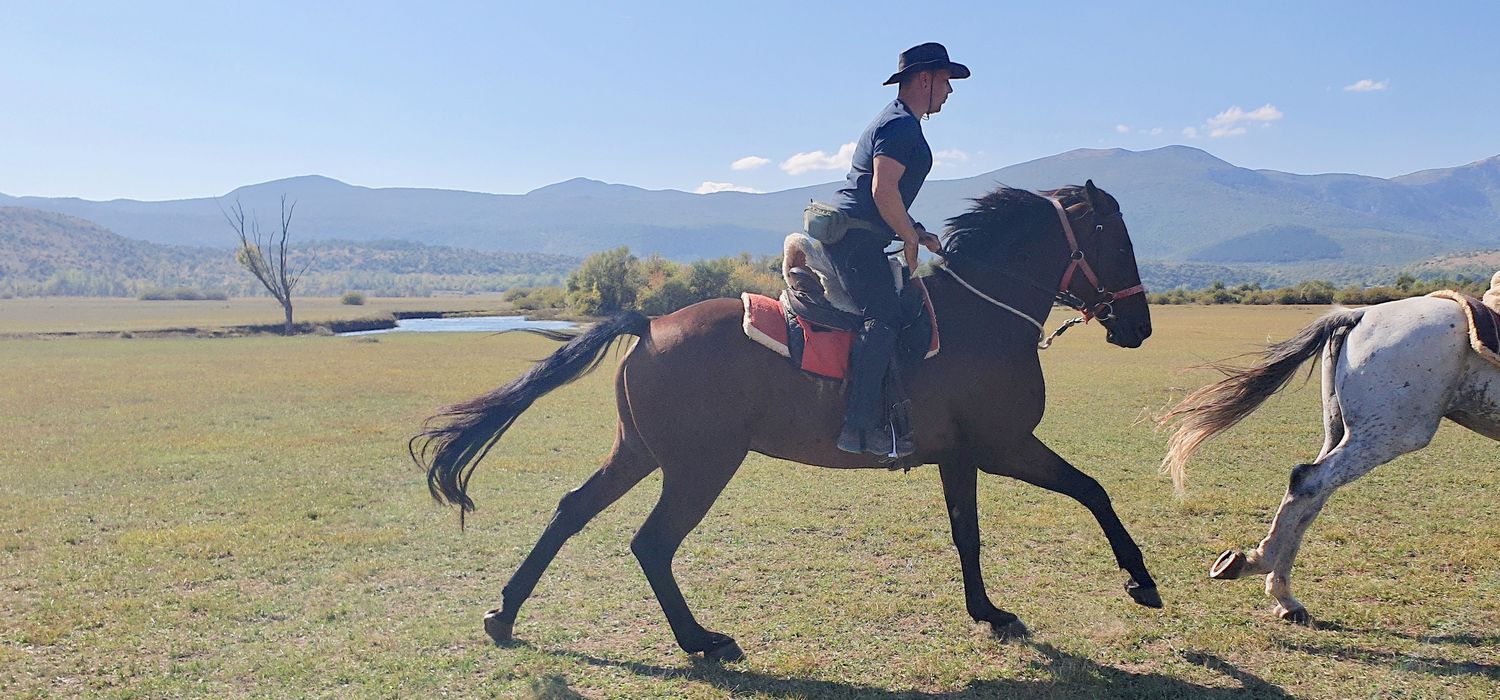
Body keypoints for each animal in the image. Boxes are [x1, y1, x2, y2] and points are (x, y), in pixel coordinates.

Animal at [417, 182, 1164, 662]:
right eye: (1114, 237)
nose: (1139, 327)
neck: (983, 314)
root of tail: (651, 322)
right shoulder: (1006, 445)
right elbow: (1094, 490)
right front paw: (1141, 580)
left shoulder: (961, 455)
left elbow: (968, 536)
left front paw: (989, 613)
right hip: (701, 465)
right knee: (652, 543)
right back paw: (701, 641)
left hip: (640, 452)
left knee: (572, 509)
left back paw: (504, 616)